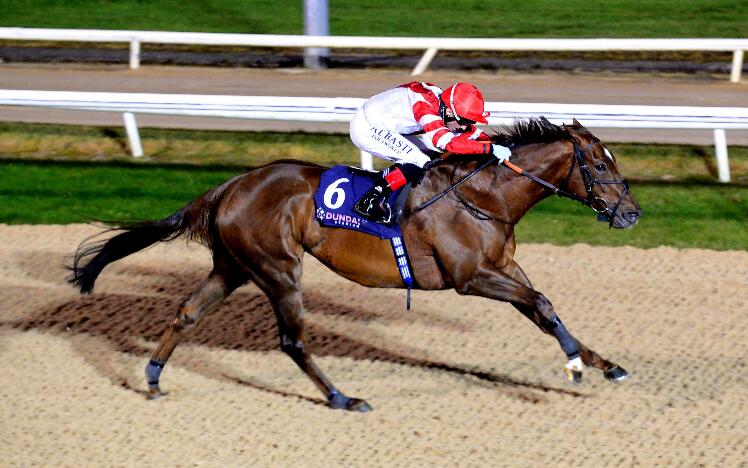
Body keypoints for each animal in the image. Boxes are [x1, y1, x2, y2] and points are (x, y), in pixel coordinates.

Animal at [68, 118, 644, 414]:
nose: (633, 214)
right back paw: (343, 397)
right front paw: (576, 366)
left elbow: (546, 311)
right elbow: (543, 304)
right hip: (278, 268)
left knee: (187, 313)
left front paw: (602, 363)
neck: (485, 194)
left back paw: (152, 378)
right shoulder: (471, 278)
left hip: (233, 265)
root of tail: (229, 186)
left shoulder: (504, 269)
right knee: (292, 340)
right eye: (598, 165)